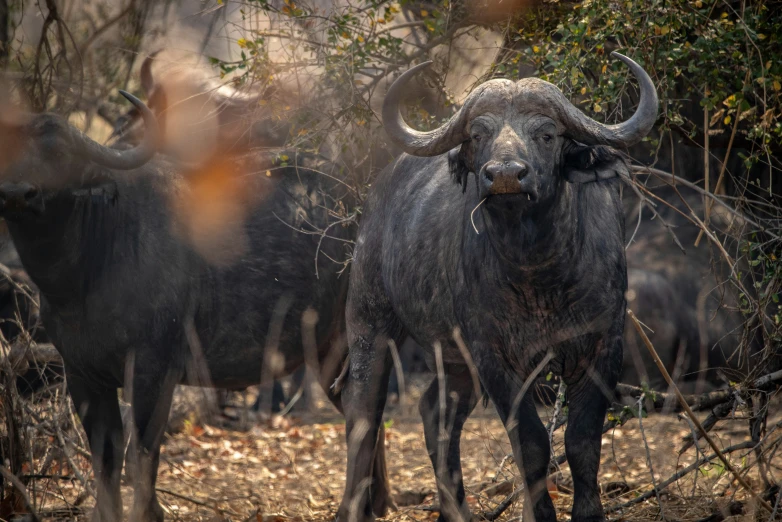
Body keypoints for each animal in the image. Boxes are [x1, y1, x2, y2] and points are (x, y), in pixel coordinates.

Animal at [0, 93, 392, 520]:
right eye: (12, 150)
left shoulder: (153, 369)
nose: (18, 193)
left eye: (60, 155)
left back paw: (352, 507)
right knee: (362, 409)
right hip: (327, 350)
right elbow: (105, 456)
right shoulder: (81, 374)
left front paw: (149, 512)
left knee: (363, 409)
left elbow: (143, 451)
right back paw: (375, 503)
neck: (85, 274)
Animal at [340, 51, 660, 520]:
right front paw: (540, 513)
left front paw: (587, 512)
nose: (506, 175)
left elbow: (582, 441)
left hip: (455, 360)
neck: (538, 273)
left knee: (436, 412)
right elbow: (531, 443)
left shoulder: (604, 346)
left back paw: (456, 511)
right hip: (370, 318)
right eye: (479, 134)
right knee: (363, 410)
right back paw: (350, 506)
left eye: (546, 134)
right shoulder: (494, 356)